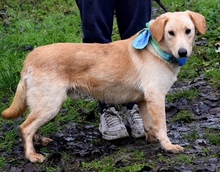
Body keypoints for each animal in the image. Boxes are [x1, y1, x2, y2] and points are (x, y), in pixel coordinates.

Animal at [1, 11, 206, 163]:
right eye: (171, 33)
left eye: (188, 31)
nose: (182, 52)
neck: (156, 50)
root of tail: (30, 57)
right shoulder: (156, 97)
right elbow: (162, 126)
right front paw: (168, 146)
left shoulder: (144, 100)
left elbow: (149, 124)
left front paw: (151, 138)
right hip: (50, 104)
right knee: (25, 127)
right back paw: (31, 155)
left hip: (43, 104)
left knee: (32, 124)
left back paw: (40, 141)